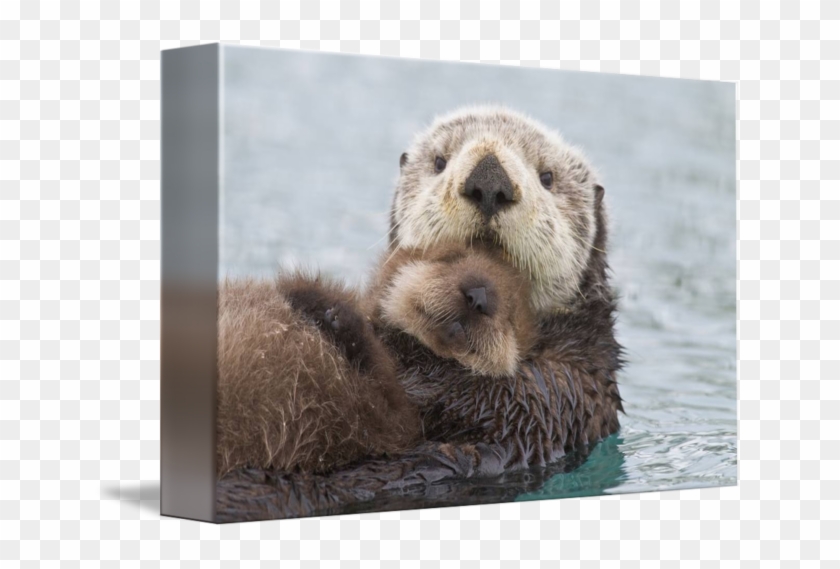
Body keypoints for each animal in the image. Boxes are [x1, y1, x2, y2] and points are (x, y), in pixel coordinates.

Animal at [216, 242, 536, 477]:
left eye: (509, 311)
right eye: (451, 259)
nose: (478, 296)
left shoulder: (388, 424)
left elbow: (386, 408)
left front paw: (338, 316)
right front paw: (315, 299)